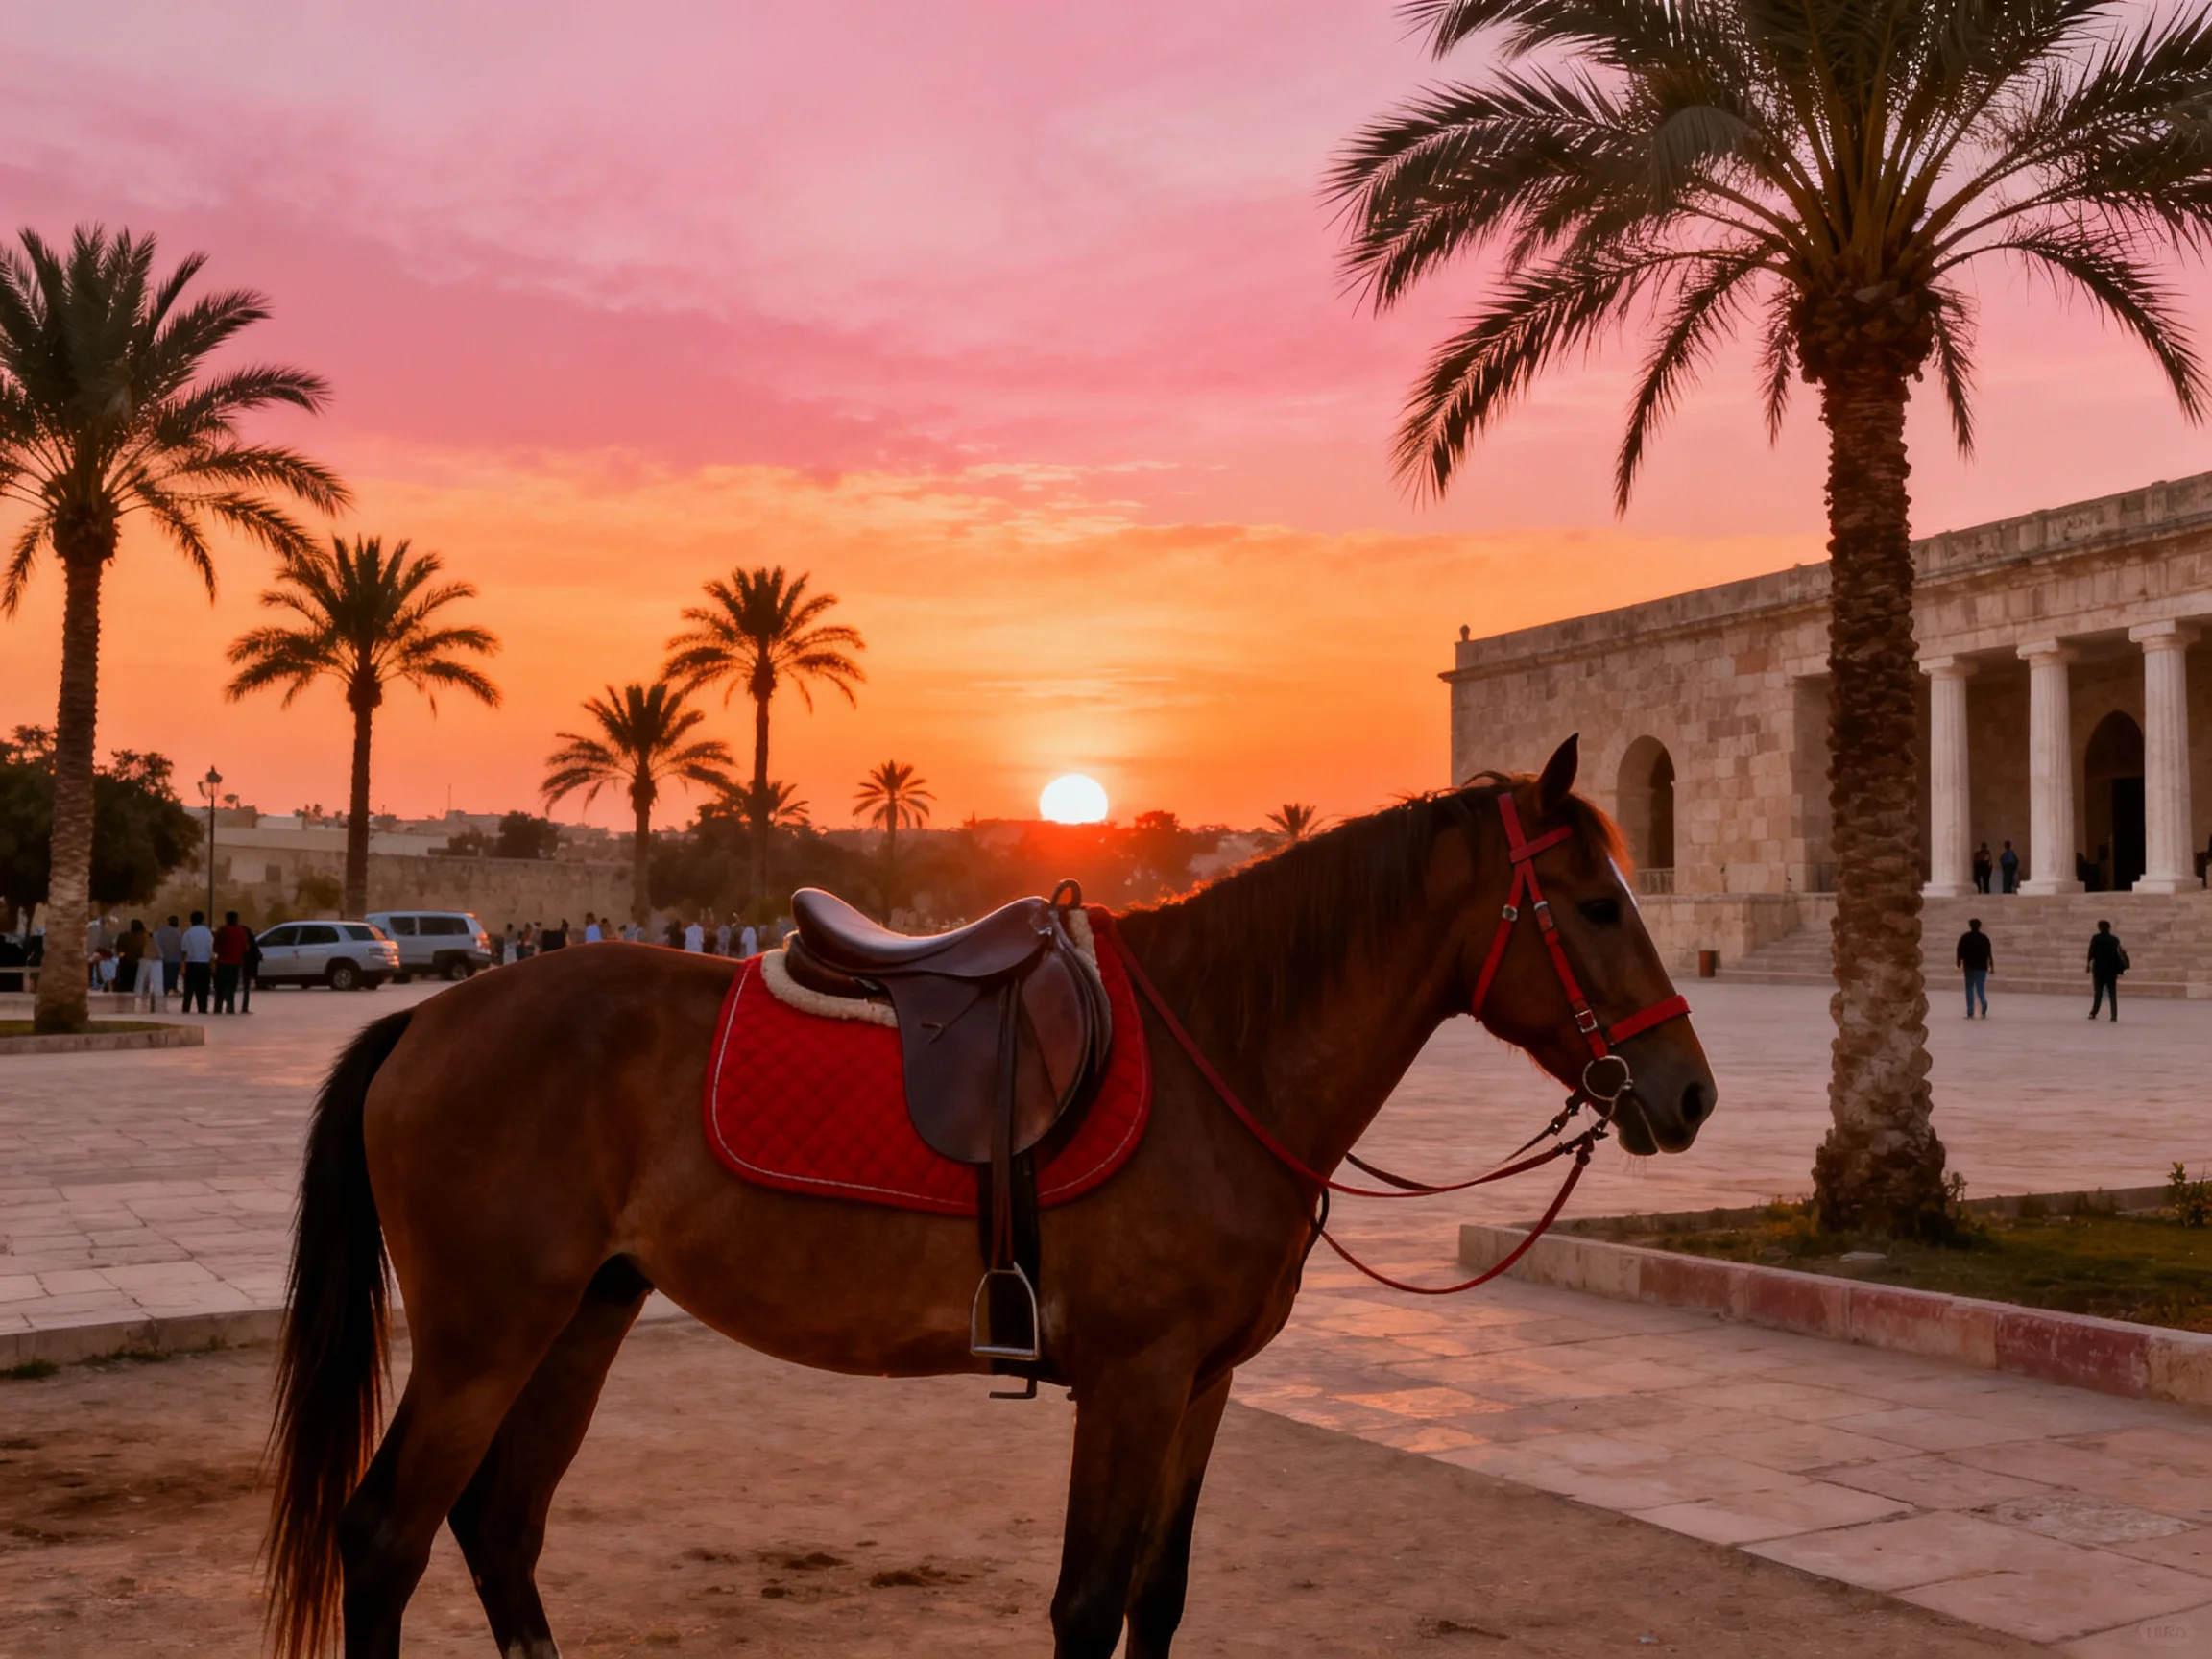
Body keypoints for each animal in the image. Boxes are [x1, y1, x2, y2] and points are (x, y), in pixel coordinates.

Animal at [265, 736, 1716, 1658]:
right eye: (1596, 906)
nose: (1692, 1092)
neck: (1218, 1048)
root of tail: (430, 1015)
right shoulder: (1134, 1380)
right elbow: (1086, 1603)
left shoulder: (1202, 1385)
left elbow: (1154, 1601)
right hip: (485, 1335)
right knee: (385, 1536)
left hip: (583, 1316)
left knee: (500, 1529)